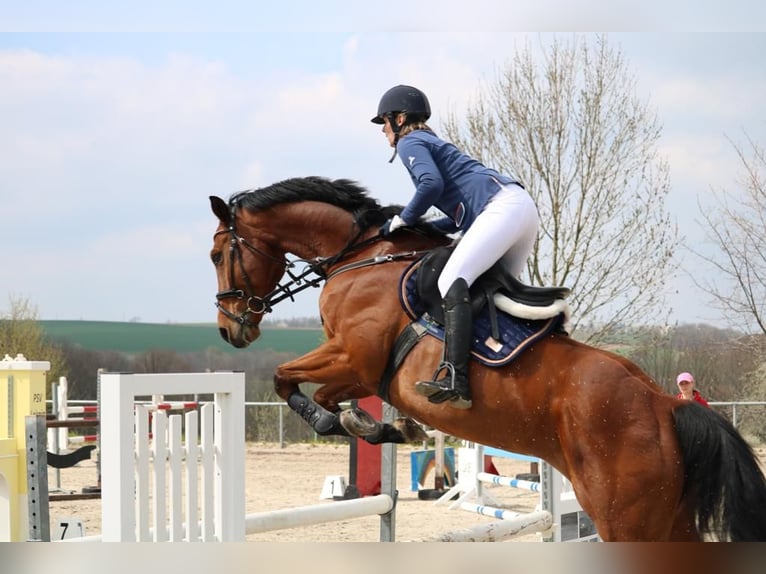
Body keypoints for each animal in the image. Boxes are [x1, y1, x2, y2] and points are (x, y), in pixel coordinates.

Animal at [209, 176, 766, 542]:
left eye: (217, 255)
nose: (230, 328)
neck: (360, 257)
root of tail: (665, 406)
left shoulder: (353, 358)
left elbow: (287, 381)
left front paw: (364, 425)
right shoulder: (361, 371)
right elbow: (310, 389)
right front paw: (390, 427)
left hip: (626, 518)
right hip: (665, 516)